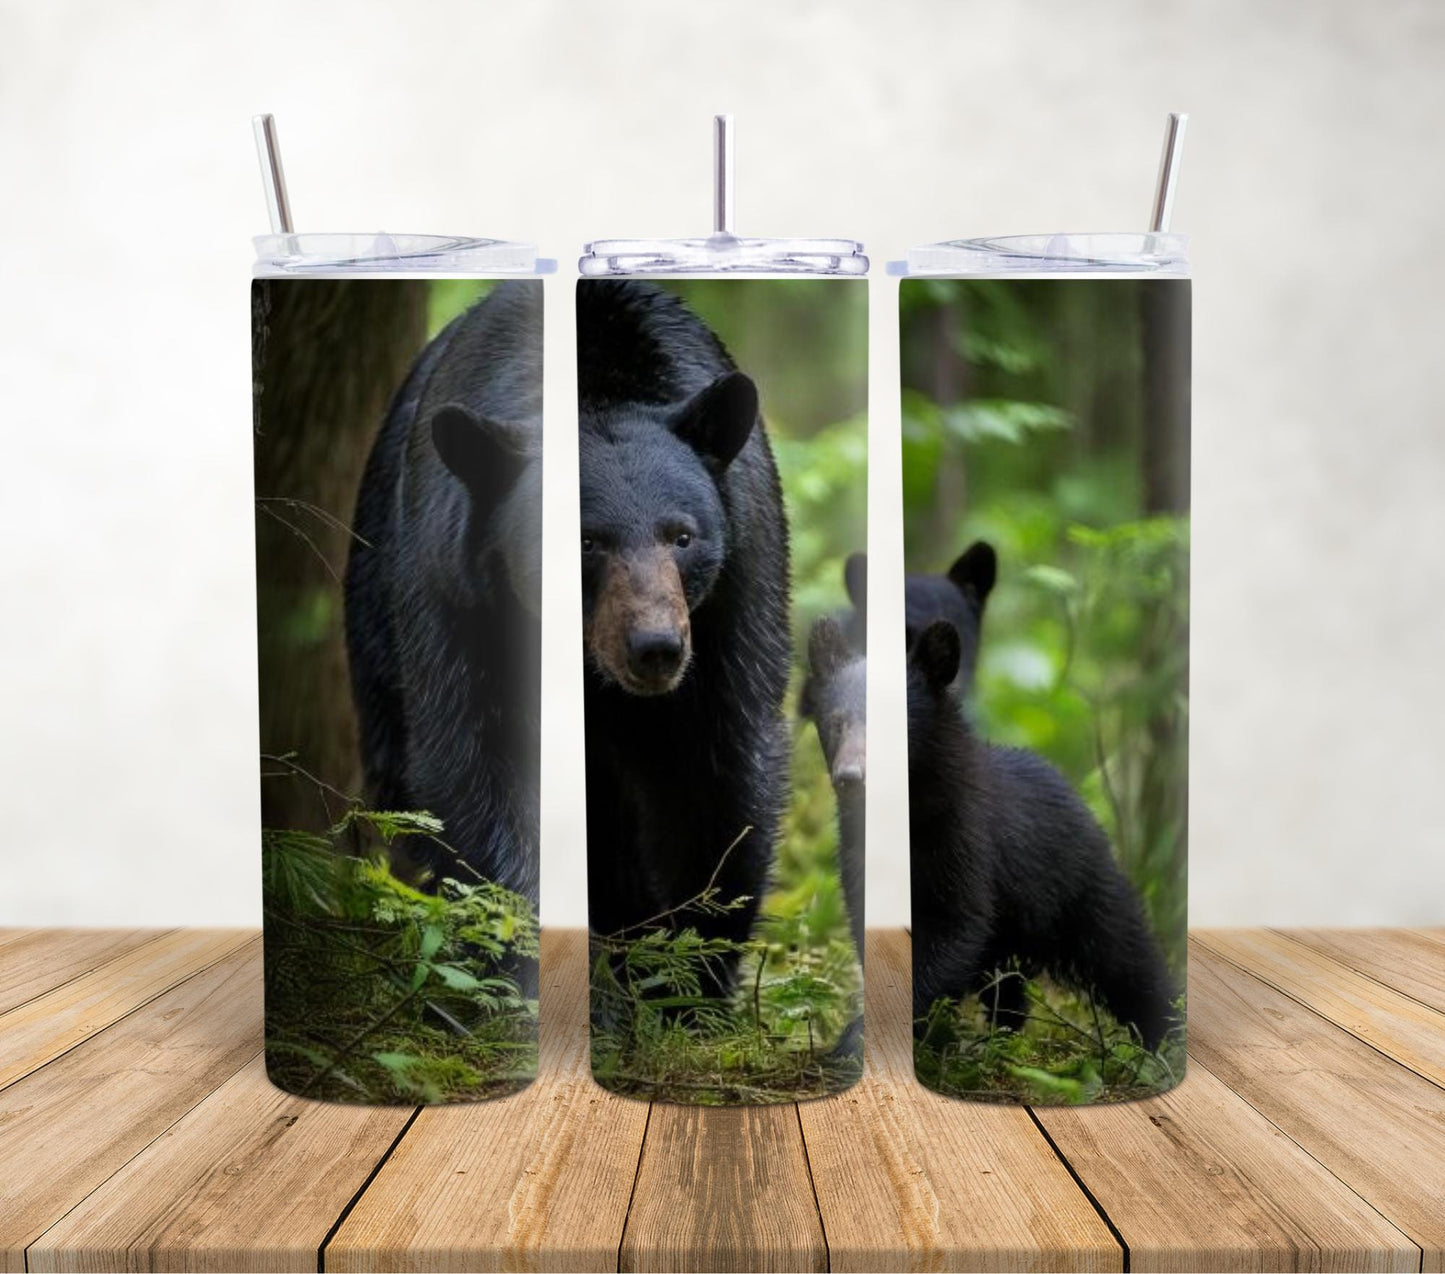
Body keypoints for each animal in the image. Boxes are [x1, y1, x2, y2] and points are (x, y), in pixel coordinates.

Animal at [577, 280, 792, 1004]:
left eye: (683, 536)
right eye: (587, 540)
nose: (656, 647)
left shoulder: (736, 599)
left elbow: (719, 778)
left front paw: (689, 981)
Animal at [907, 619, 1176, 1049]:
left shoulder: (960, 843)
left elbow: (953, 926)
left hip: (1083, 895)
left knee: (1128, 960)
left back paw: (1164, 1038)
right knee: (1008, 986)